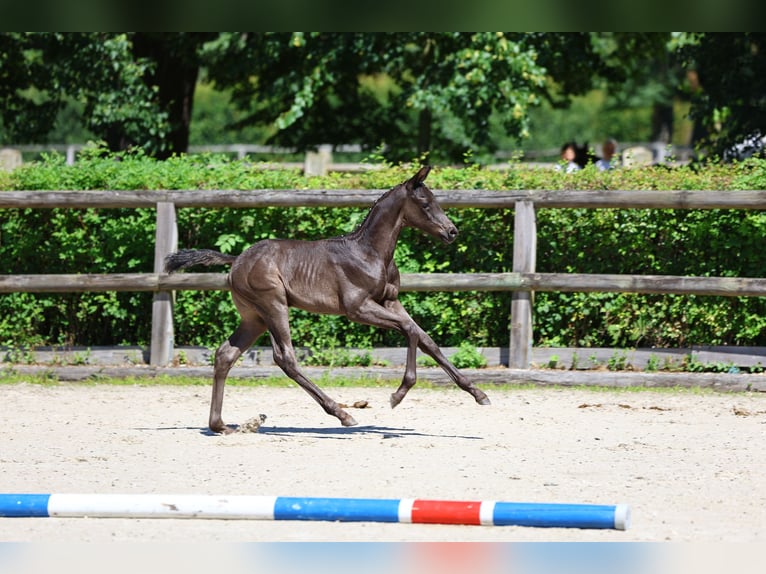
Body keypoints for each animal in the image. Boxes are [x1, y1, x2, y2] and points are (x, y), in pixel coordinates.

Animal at [166, 164, 492, 434]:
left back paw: (220, 425)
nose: (452, 231)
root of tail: (236, 260)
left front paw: (478, 393)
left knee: (225, 354)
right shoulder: (357, 308)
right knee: (285, 358)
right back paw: (342, 414)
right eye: (425, 203)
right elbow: (411, 331)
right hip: (273, 305)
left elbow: (426, 339)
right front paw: (398, 394)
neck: (370, 252)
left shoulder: (391, 302)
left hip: (254, 317)